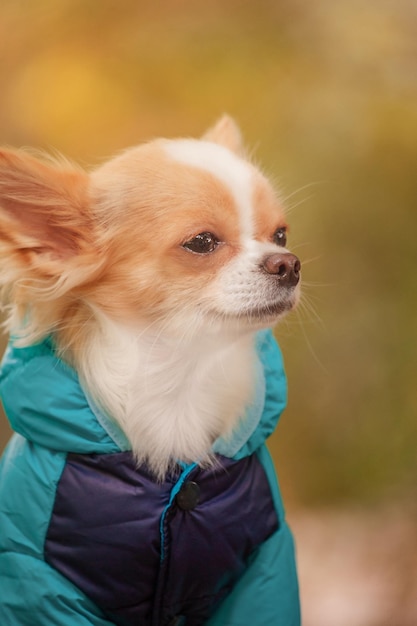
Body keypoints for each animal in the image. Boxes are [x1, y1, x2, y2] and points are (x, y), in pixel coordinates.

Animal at [0, 118, 300, 624]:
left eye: (279, 235)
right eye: (202, 242)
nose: (290, 264)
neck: (176, 381)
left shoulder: (264, 565)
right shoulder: (38, 581)